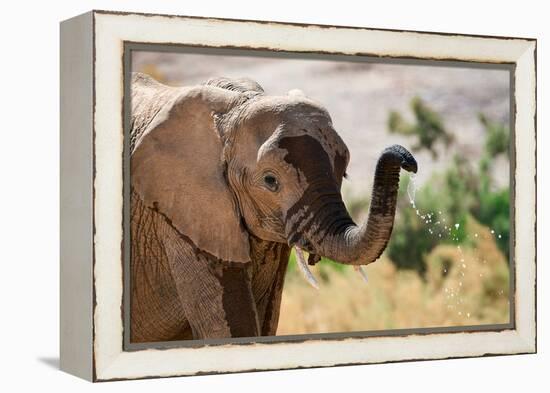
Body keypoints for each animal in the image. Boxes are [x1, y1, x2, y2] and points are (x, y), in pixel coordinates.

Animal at [132, 72, 420, 342]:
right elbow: (232, 329)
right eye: (270, 181)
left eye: (344, 172)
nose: (408, 161)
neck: (235, 105)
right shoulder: (184, 219)